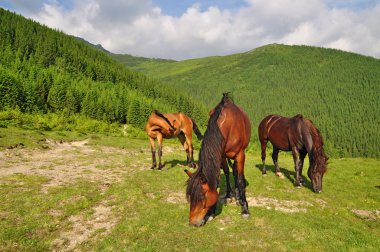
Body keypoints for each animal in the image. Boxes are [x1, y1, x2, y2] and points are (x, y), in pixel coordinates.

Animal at [185, 93, 251, 227]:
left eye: (202, 198)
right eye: (190, 197)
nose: (193, 223)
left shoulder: (240, 155)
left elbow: (240, 180)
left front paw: (245, 208)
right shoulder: (220, 155)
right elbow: (219, 178)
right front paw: (211, 212)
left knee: (237, 173)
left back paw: (239, 197)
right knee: (228, 172)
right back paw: (230, 194)